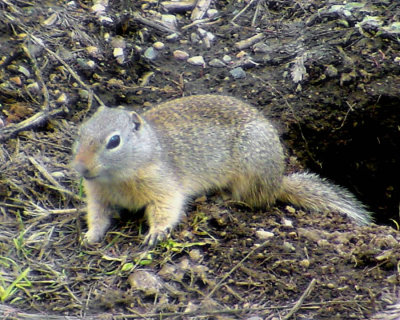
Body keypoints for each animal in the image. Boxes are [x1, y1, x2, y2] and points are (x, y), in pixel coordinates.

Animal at [71, 94, 372, 246]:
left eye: (114, 141)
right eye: (80, 132)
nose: (81, 168)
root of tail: (277, 180)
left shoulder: (164, 187)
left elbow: (167, 209)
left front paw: (156, 233)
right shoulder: (97, 196)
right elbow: (98, 216)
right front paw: (90, 236)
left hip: (250, 171)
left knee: (252, 199)